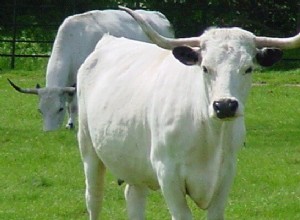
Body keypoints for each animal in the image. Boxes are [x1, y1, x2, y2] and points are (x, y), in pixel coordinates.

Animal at [76, 6, 298, 220]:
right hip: (88, 149)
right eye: (205, 68)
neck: (208, 133)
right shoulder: (167, 173)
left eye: (248, 68)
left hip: (134, 166)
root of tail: (108, 41)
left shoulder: (226, 174)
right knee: (94, 198)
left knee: (134, 197)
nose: (225, 105)